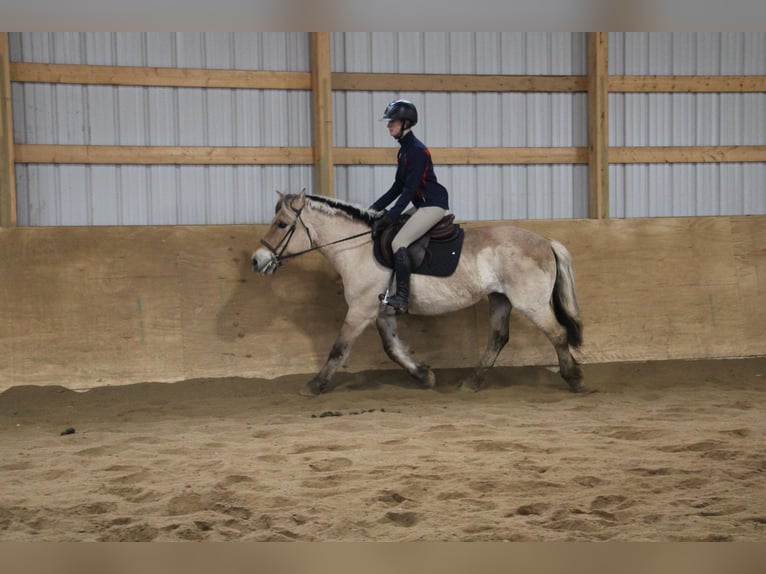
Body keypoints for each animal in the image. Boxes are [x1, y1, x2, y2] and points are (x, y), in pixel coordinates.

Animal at [252, 192, 584, 396]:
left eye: (282, 224)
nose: (257, 260)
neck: (357, 248)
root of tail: (546, 241)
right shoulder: (381, 311)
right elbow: (392, 349)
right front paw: (425, 375)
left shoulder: (360, 309)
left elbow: (339, 349)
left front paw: (314, 385)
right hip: (500, 299)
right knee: (499, 338)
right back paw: (472, 382)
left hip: (531, 303)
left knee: (557, 334)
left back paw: (574, 378)